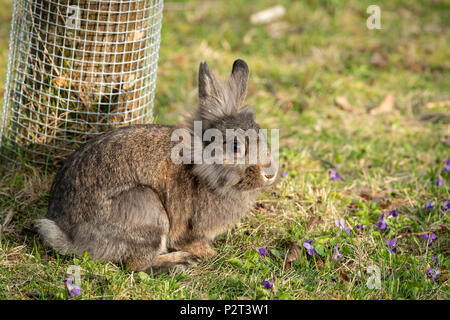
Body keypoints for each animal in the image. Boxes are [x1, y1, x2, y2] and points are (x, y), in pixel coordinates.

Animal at [36, 59, 278, 272]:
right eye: (236, 146)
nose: (270, 173)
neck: (203, 166)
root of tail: (72, 239)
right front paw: (209, 254)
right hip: (148, 211)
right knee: (136, 266)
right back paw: (180, 262)